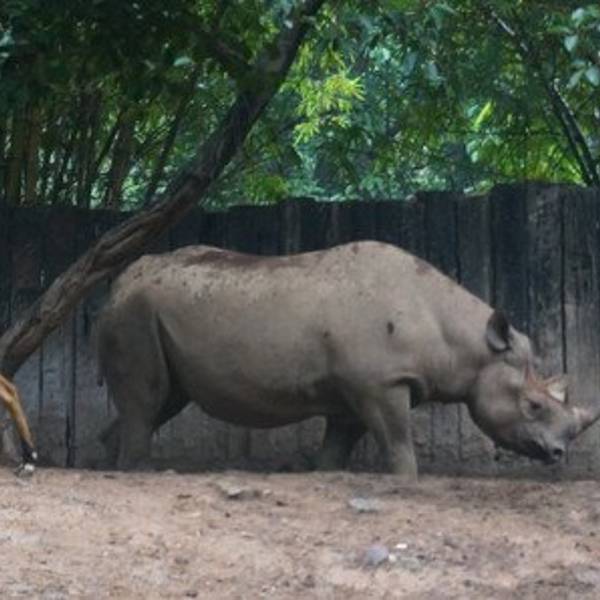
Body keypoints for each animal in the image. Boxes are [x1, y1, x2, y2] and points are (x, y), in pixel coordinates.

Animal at [96, 241, 600, 476]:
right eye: (533, 406)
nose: (558, 453)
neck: (467, 341)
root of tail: (118, 282)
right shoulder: (382, 384)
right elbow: (398, 444)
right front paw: (407, 482)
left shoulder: (355, 391)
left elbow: (336, 448)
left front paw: (323, 475)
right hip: (135, 312)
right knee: (149, 398)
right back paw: (142, 471)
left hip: (147, 312)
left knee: (163, 400)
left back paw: (113, 463)